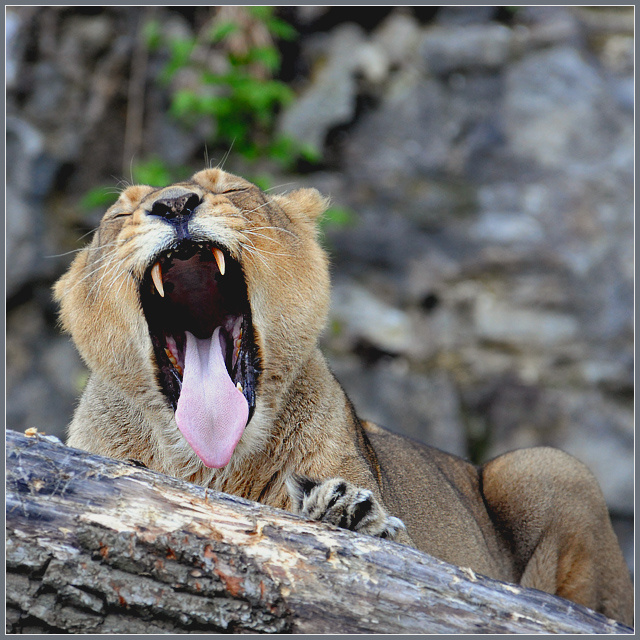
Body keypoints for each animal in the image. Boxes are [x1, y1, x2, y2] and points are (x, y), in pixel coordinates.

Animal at [54, 168, 633, 625]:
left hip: (545, 465)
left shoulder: (413, 549)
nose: (174, 204)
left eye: (232, 188)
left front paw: (348, 512)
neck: (210, 466)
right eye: (119, 214)